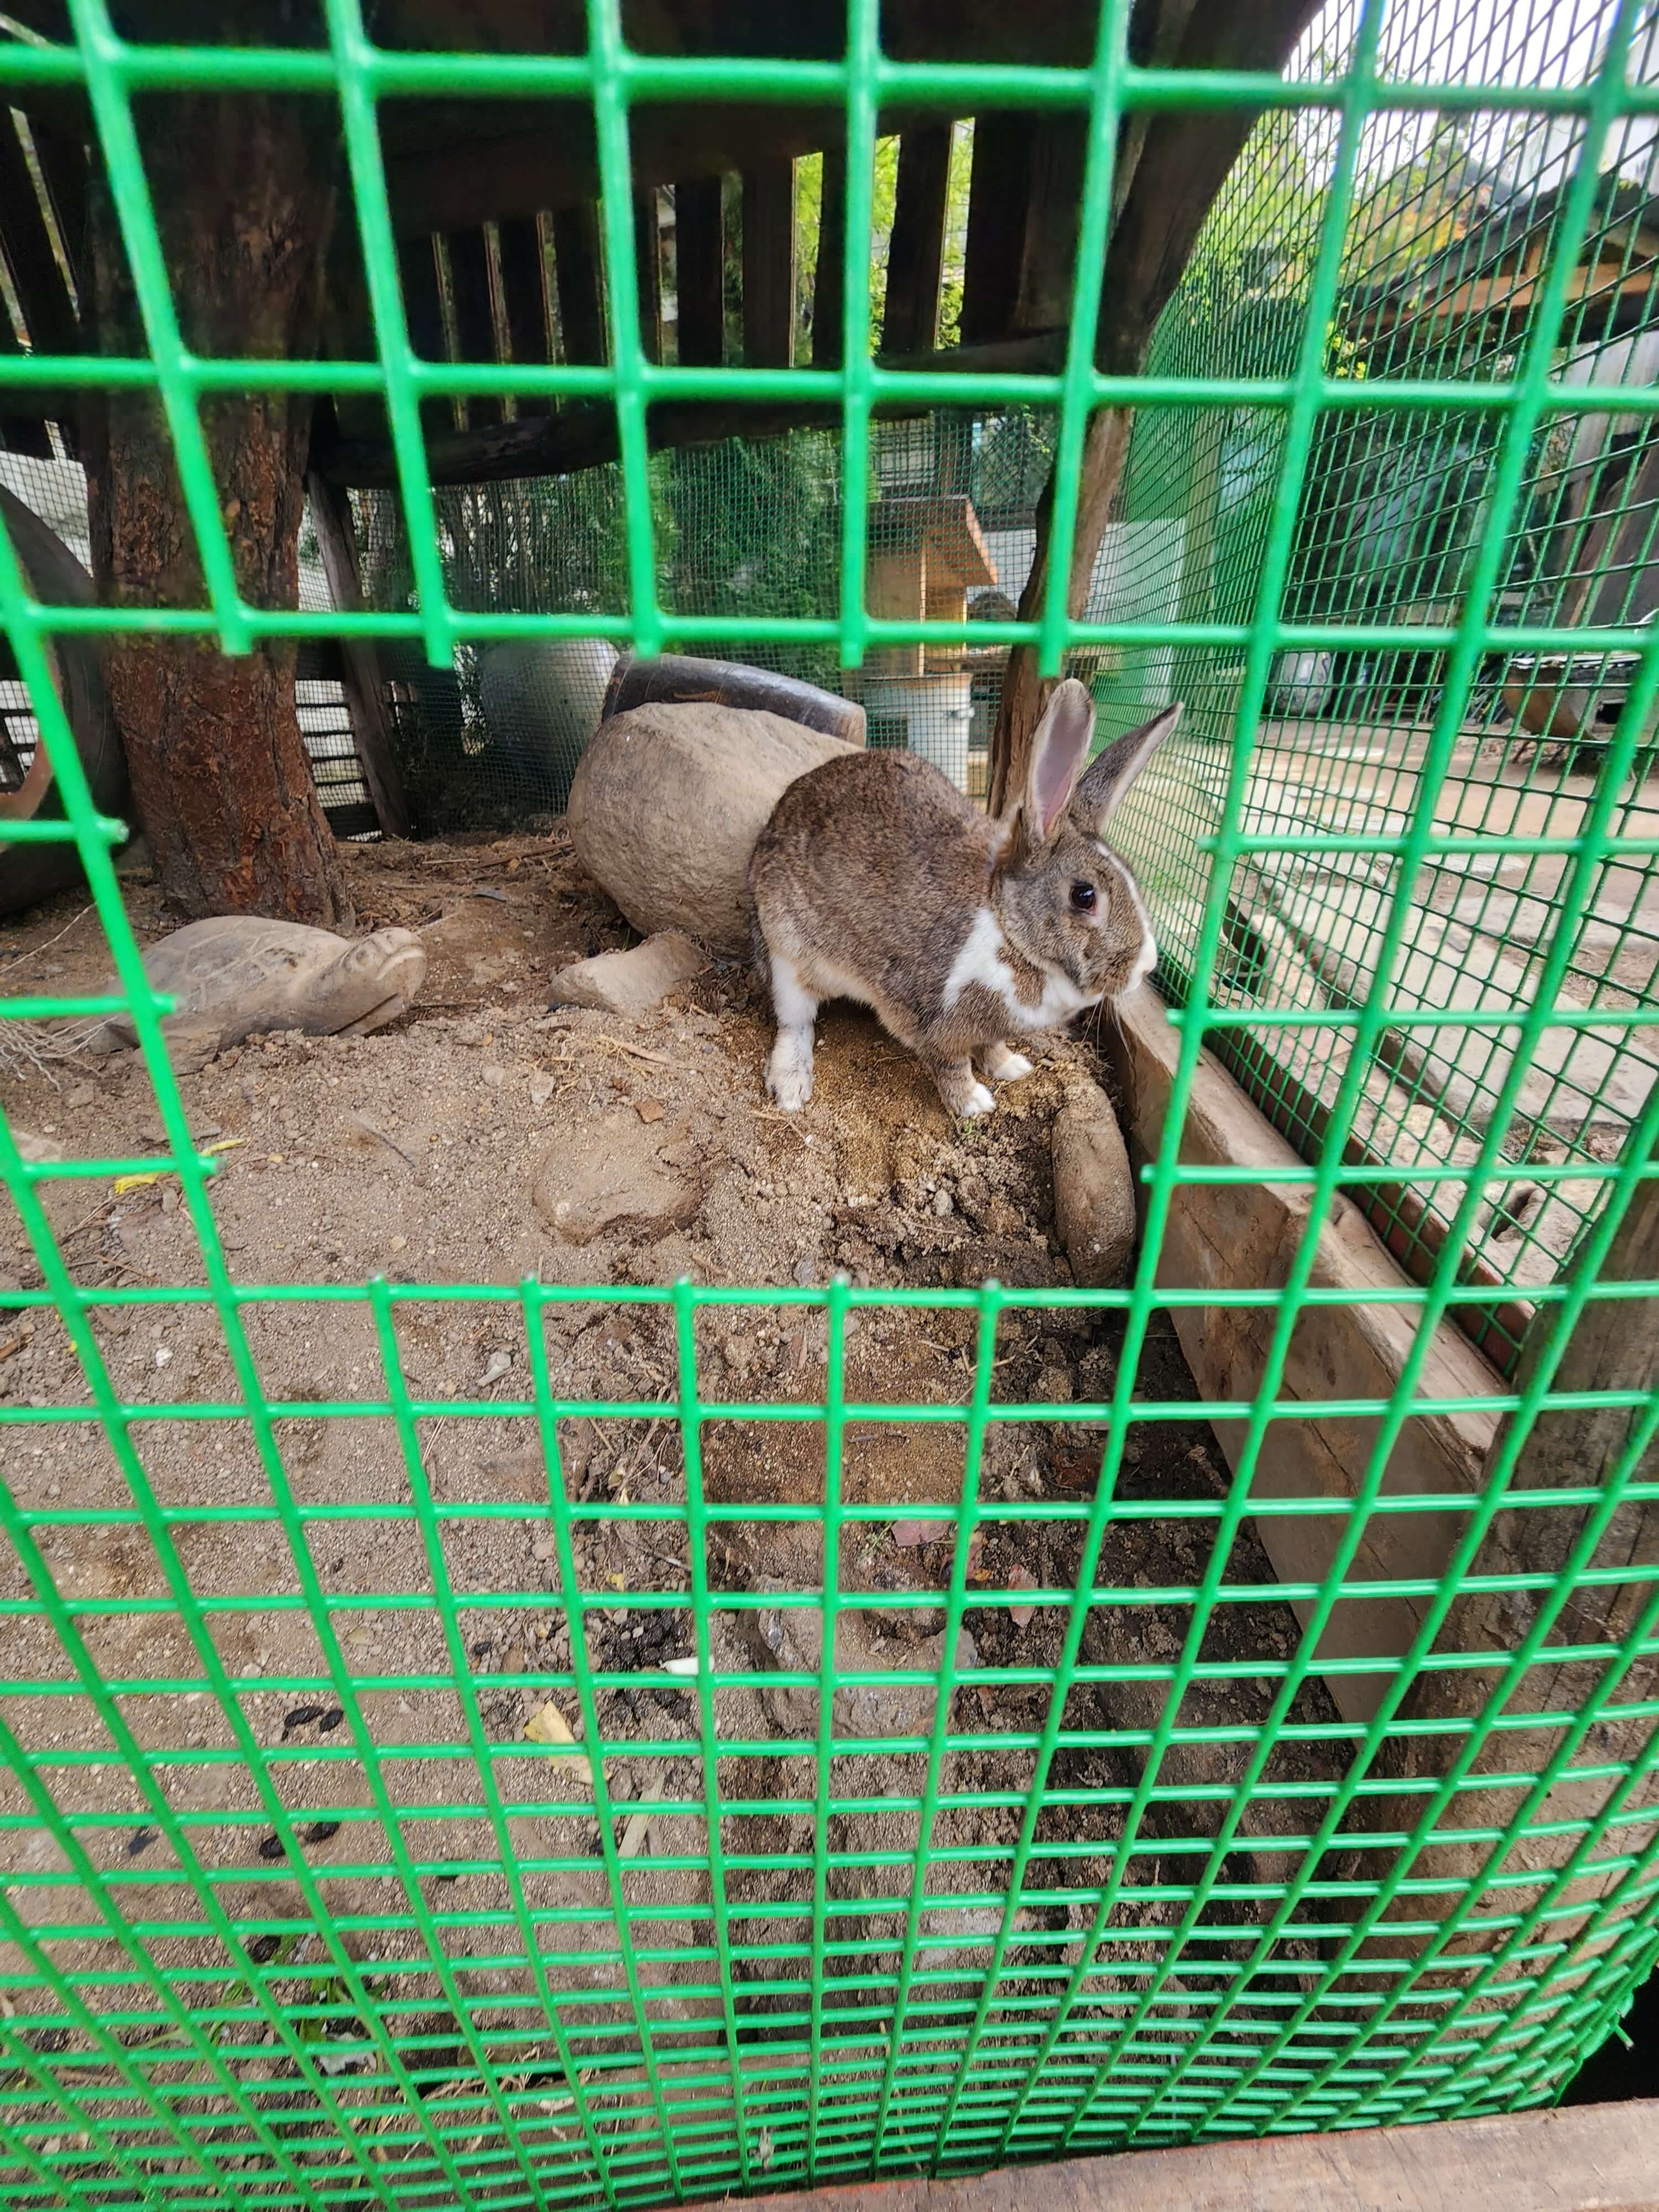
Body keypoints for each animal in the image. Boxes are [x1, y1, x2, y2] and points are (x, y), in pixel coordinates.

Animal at [748, 677, 1186, 1124]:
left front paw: (1011, 1066)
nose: (1147, 965)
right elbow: (951, 1064)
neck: (1009, 929)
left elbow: (991, 1045)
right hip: (786, 953)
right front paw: (974, 1102)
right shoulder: (934, 1019)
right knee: (794, 1021)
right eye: (1085, 896)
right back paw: (791, 1087)